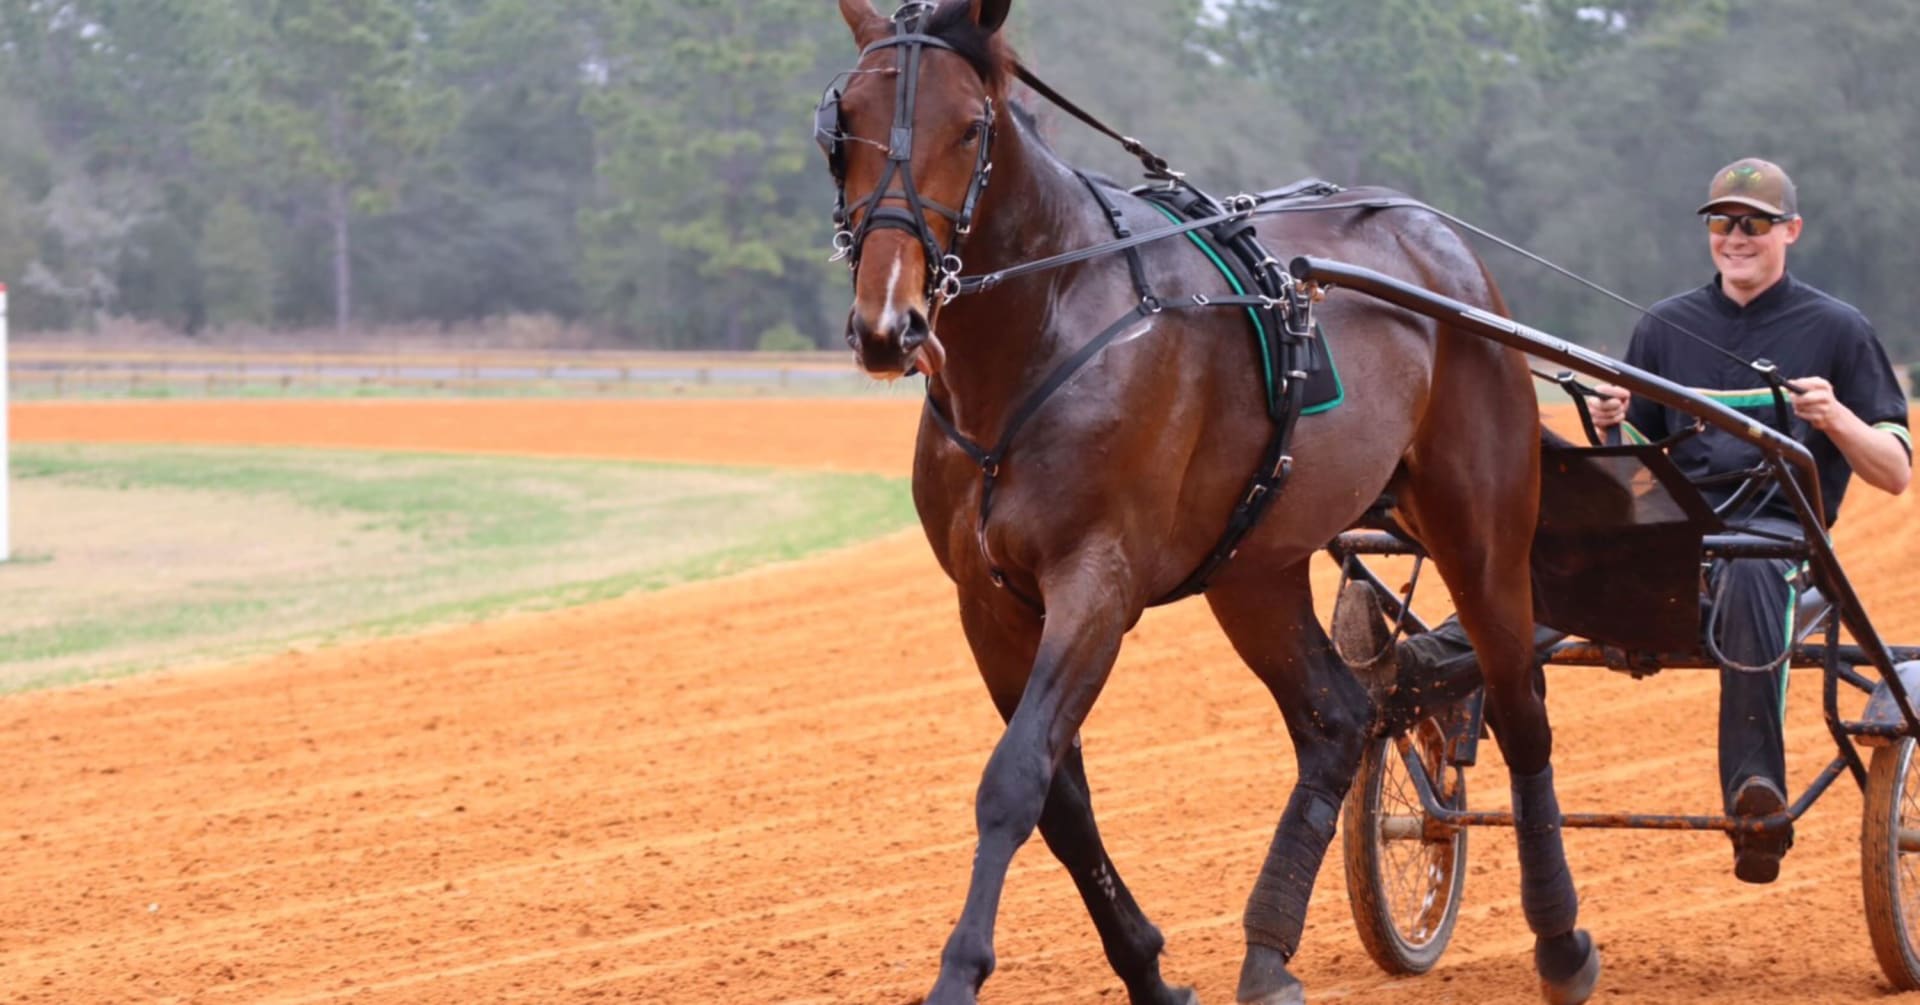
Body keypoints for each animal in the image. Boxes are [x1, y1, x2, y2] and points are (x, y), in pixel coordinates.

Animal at [825, 1, 1605, 1005]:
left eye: (969, 127)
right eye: (842, 123)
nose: (890, 325)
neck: (1043, 327)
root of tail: (1444, 248)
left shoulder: (1098, 580)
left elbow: (1015, 779)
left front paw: (959, 972)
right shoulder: (987, 602)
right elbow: (1062, 800)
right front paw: (1152, 969)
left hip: (1482, 524)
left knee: (1519, 704)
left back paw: (1561, 941)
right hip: (1254, 565)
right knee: (1338, 719)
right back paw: (1268, 954)